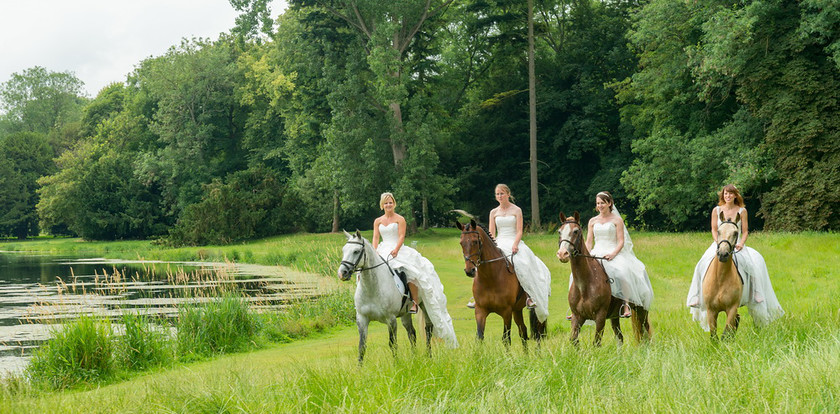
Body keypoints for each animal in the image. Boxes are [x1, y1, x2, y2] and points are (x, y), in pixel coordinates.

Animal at [336, 230, 434, 362]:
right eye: (343, 250)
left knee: (428, 328)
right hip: (405, 313)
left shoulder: (391, 319)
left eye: (356, 251)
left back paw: (429, 356)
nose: (342, 273)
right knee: (412, 333)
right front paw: (359, 367)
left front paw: (396, 364)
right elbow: (362, 346)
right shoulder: (362, 319)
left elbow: (393, 344)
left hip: (424, 305)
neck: (371, 288)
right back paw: (414, 358)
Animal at [556, 213, 652, 346]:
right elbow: (574, 339)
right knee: (620, 337)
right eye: (559, 232)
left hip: (641, 310)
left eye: (575, 231)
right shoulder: (577, 316)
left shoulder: (600, 317)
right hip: (614, 316)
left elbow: (596, 343)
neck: (585, 284)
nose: (562, 254)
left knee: (645, 332)